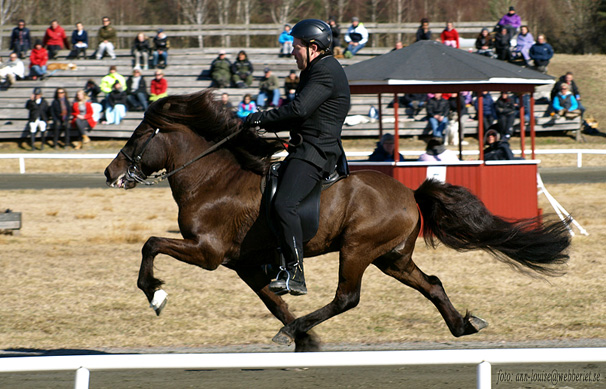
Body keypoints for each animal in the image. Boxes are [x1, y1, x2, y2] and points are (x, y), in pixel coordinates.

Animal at [105, 91, 576, 352]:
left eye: (138, 136)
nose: (110, 174)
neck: (214, 179)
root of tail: (410, 193)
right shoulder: (243, 263)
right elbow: (271, 298)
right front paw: (303, 340)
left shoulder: (207, 252)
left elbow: (151, 244)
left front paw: (155, 294)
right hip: (391, 258)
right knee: (432, 283)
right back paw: (462, 324)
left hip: (357, 250)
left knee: (347, 298)